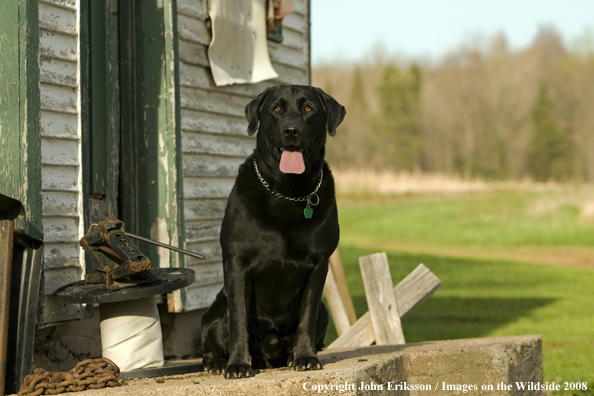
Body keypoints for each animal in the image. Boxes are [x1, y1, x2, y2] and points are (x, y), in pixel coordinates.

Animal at [201, 85, 344, 378]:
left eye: (308, 109)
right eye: (276, 109)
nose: (291, 130)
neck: (288, 193)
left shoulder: (319, 263)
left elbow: (307, 317)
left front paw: (305, 357)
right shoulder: (237, 261)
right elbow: (239, 321)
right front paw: (238, 364)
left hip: (324, 312)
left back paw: (289, 356)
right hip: (213, 315)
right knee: (214, 339)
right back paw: (217, 363)